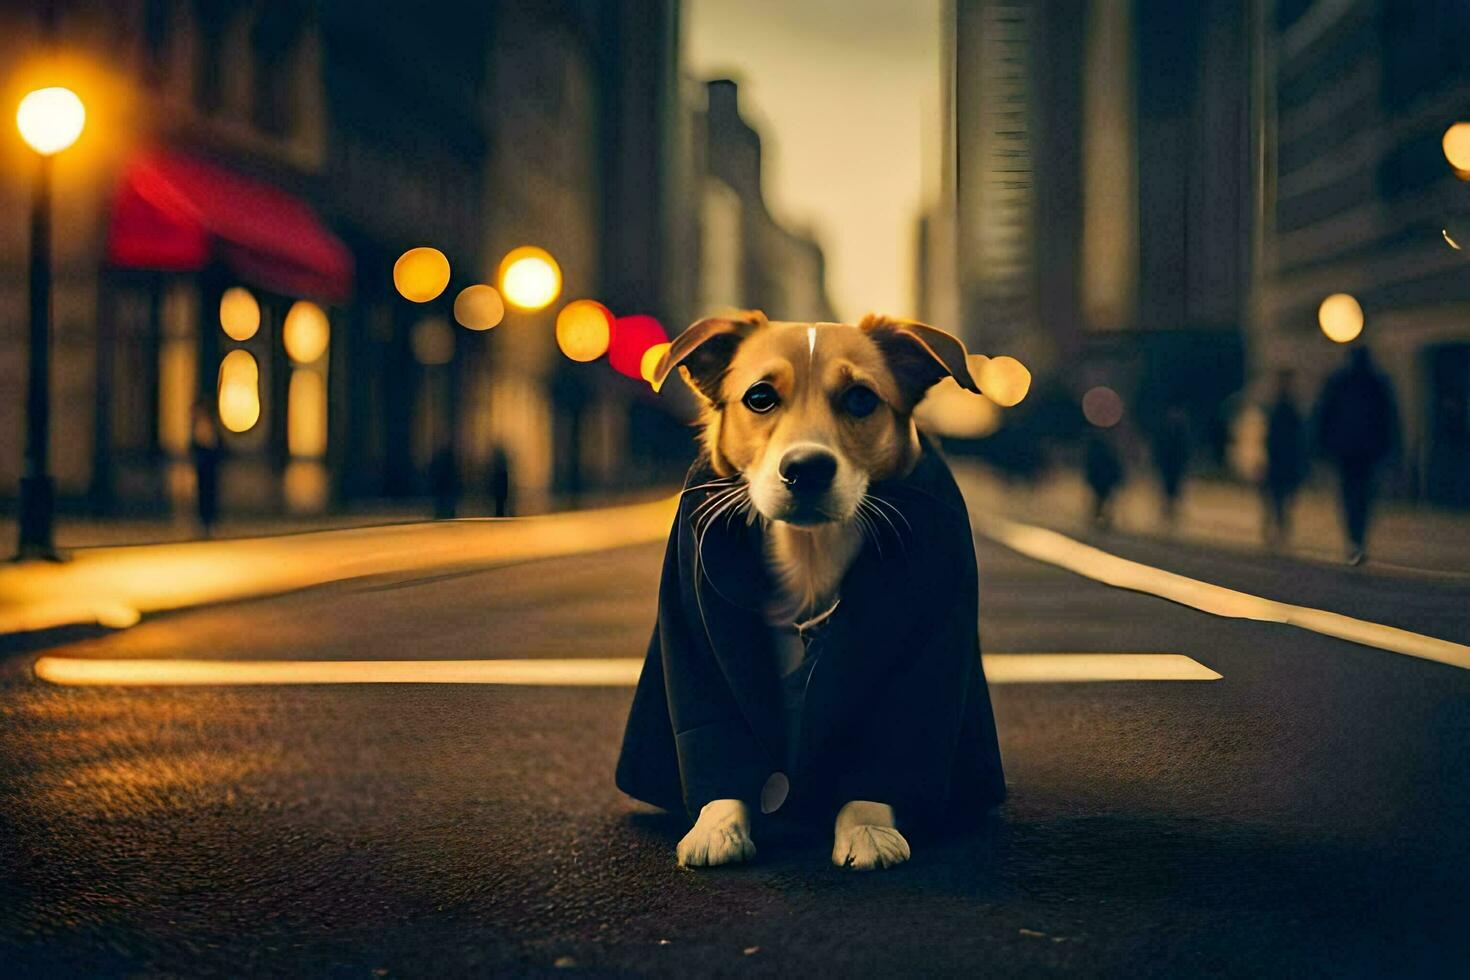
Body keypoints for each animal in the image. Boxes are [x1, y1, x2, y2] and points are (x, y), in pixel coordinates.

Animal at [614, 310, 1005, 869]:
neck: (809, 554)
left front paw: (867, 827)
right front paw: (717, 824)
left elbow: (893, 738)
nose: (807, 468)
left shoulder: (930, 635)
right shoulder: (692, 630)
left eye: (861, 398)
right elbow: (715, 725)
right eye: (760, 397)